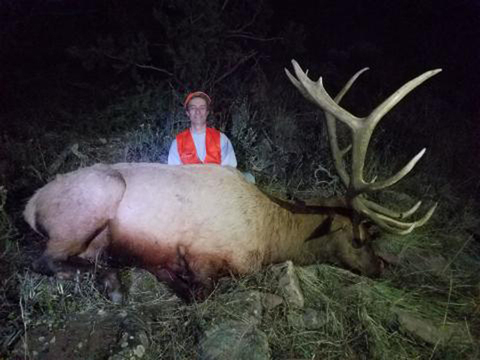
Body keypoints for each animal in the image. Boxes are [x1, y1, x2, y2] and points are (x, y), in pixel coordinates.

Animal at [25, 61, 438, 300]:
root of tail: (30, 206)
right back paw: (112, 283)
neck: (271, 235)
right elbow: (198, 290)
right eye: (362, 237)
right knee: (44, 260)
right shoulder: (206, 255)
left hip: (93, 237)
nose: (380, 267)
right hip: (91, 205)